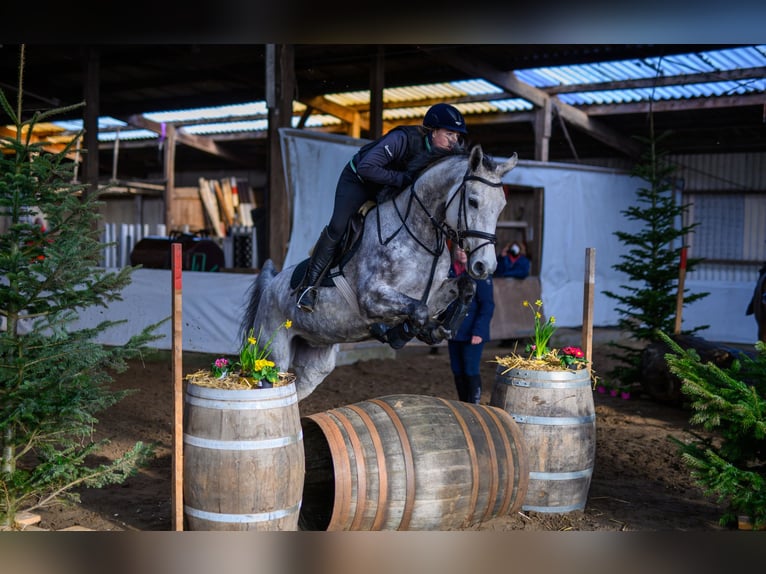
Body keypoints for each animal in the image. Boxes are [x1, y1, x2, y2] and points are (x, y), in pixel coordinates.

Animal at [240, 144, 518, 401]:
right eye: (473, 201)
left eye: (502, 206)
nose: (485, 266)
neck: (419, 234)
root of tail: (270, 286)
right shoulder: (371, 297)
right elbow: (418, 311)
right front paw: (405, 333)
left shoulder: (433, 293)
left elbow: (464, 287)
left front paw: (440, 327)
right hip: (273, 354)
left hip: (314, 365)